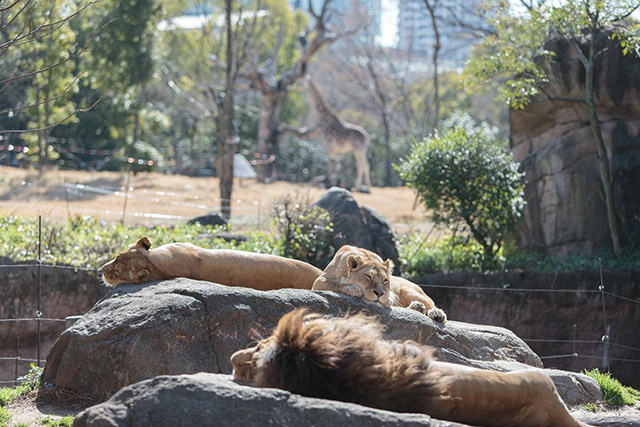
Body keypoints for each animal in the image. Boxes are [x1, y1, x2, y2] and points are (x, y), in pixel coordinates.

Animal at [312, 246, 448, 322]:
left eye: (385, 280)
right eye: (368, 277)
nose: (379, 293)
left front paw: (387, 299)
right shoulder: (319, 280)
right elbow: (335, 284)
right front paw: (353, 288)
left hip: (409, 290)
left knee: (431, 304)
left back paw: (436, 314)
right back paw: (417, 307)